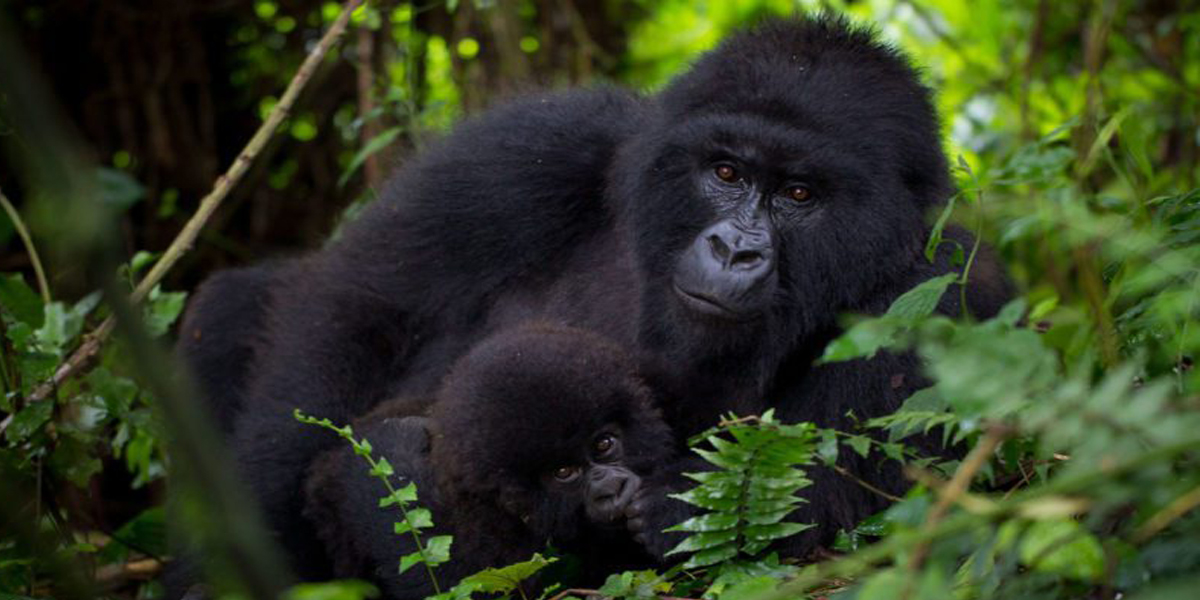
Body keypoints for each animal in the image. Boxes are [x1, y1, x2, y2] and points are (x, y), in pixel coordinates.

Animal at [302, 326, 676, 597]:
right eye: (563, 472)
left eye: (604, 444)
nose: (610, 486)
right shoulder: (492, 523)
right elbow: (464, 585)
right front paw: (390, 452)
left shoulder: (655, 375)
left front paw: (667, 511)